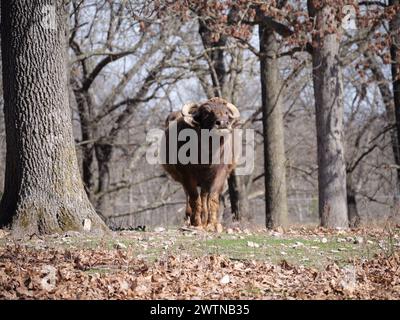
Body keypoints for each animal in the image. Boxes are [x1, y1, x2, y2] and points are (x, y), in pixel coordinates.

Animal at [162, 96, 241, 231]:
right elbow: (194, 198)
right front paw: (196, 222)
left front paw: (211, 224)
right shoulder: (187, 176)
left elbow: (213, 198)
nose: (222, 123)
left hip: (205, 182)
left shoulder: (220, 174)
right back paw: (190, 218)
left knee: (204, 197)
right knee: (189, 196)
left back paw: (205, 219)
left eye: (226, 112)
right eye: (206, 112)